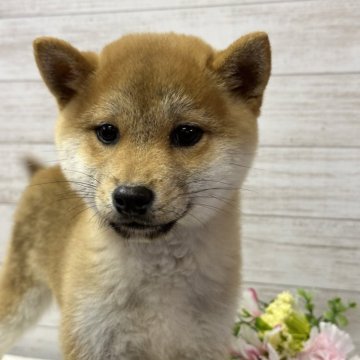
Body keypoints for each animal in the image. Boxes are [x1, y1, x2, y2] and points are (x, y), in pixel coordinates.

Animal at [0, 32, 270, 358]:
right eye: (107, 131)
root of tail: (41, 171)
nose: (130, 196)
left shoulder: (205, 344)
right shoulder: (91, 339)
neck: (157, 275)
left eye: (187, 134)